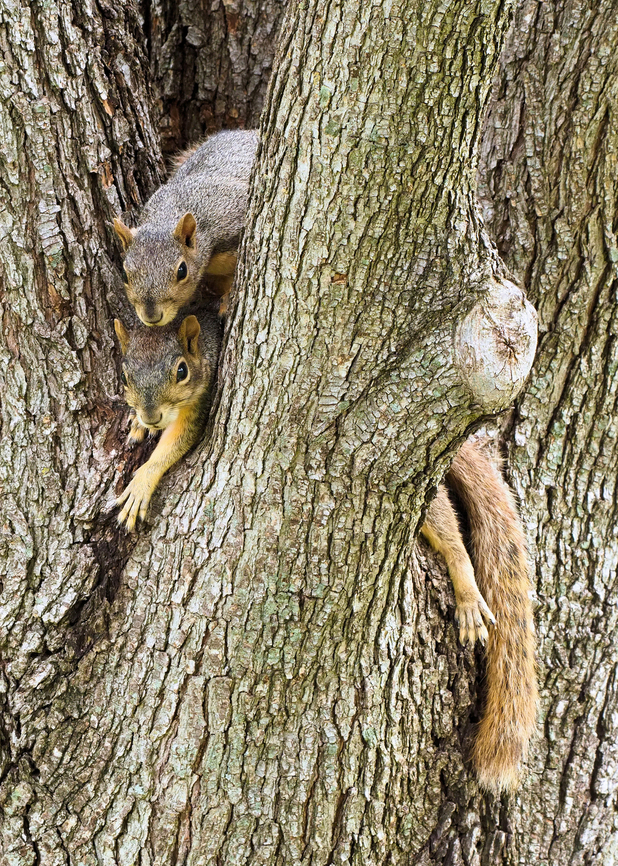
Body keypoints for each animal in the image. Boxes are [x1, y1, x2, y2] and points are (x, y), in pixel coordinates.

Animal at [113, 299, 222, 532]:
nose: (151, 418)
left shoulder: (200, 400)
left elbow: (176, 441)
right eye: (123, 377)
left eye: (182, 371)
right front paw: (139, 423)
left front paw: (140, 486)